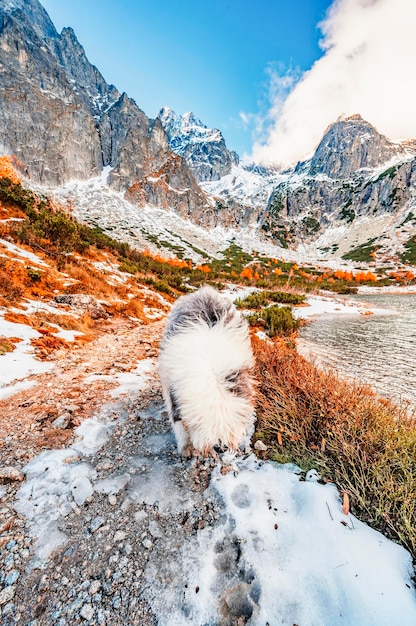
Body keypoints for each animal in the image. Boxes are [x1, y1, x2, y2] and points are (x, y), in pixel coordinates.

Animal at [158, 284, 255, 454]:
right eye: (203, 421)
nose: (220, 447)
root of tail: (204, 291)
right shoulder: (171, 390)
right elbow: (178, 423)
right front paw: (185, 447)